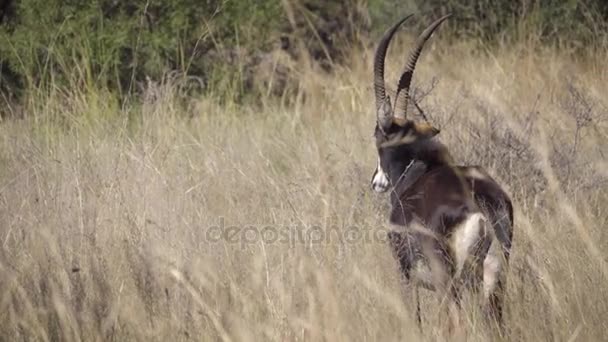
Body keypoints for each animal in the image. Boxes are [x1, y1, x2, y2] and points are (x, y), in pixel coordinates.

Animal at [368, 14, 516, 332]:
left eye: (377, 137)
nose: (376, 182)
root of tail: (481, 203)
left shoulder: (405, 273)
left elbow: (415, 318)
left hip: (449, 281)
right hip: (495, 277)